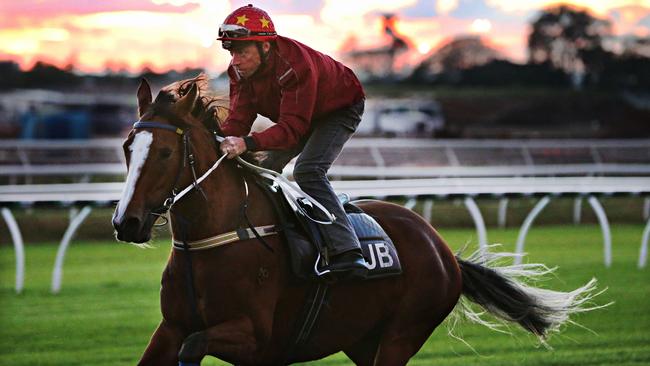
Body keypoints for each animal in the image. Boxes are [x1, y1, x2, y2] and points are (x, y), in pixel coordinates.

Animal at [111, 76, 604, 364]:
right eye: (127, 146)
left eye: (166, 152)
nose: (126, 222)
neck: (220, 236)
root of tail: (443, 250)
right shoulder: (171, 328)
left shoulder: (252, 333)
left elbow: (195, 347)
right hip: (363, 340)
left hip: (404, 332)